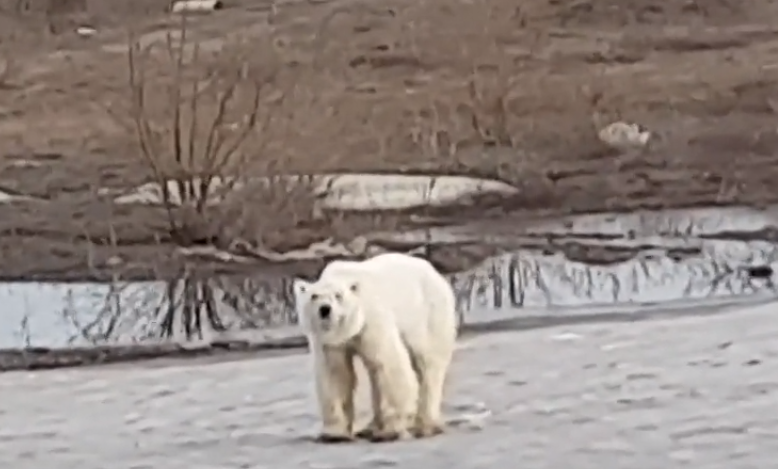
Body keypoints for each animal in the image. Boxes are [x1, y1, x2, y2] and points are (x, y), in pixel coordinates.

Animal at [293, 252, 458, 443]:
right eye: (314, 296)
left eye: (338, 296)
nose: (325, 309)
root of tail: (435, 272)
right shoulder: (330, 343)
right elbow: (335, 373)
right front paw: (334, 434)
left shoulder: (372, 320)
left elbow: (388, 365)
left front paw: (391, 431)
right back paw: (370, 428)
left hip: (429, 314)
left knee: (428, 363)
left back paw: (427, 426)